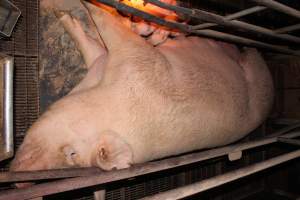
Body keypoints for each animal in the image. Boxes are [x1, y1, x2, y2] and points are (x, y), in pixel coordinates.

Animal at [9, 0, 274, 172]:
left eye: (71, 154)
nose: (19, 177)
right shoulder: (101, 62)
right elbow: (90, 46)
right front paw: (63, 14)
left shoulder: (137, 58)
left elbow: (107, 25)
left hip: (258, 74)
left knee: (252, 55)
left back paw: (251, 47)